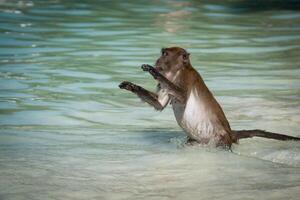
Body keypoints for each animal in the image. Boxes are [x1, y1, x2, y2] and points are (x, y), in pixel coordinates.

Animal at [118, 47, 298, 149]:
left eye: (165, 54)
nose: (158, 60)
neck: (177, 71)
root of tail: (230, 133)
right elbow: (159, 104)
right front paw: (131, 86)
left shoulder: (185, 76)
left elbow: (181, 96)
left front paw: (153, 71)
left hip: (221, 138)